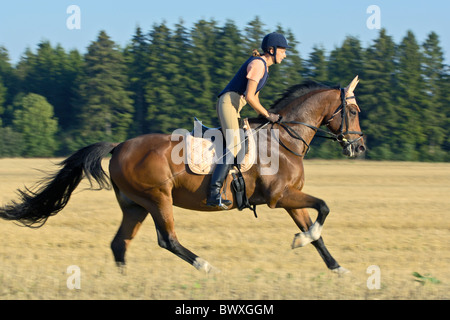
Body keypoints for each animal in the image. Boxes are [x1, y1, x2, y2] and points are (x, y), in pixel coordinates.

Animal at [0, 76, 366, 274]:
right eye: (353, 110)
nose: (359, 147)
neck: (284, 140)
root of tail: (118, 147)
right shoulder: (281, 197)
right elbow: (324, 208)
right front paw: (300, 241)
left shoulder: (291, 199)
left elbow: (317, 231)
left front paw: (337, 267)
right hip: (158, 198)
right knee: (168, 239)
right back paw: (206, 266)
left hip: (135, 205)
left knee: (120, 243)